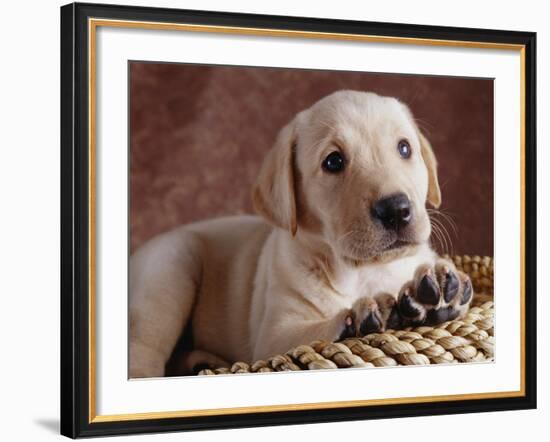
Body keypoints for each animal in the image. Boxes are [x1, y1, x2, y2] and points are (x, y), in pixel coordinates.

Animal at [129, 90, 474, 376]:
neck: (364, 271)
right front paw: (359, 318)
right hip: (172, 265)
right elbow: (312, 334)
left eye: (404, 148)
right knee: (144, 350)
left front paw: (440, 291)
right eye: (333, 161)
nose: (396, 209)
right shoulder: (273, 336)